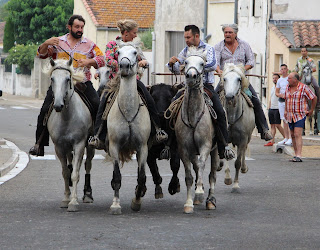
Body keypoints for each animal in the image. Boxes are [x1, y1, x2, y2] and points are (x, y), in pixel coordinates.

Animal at [45, 57, 95, 212]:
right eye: (52, 78)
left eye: (68, 79)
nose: (58, 105)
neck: (67, 116)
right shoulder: (59, 147)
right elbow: (66, 173)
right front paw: (66, 199)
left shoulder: (79, 145)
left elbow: (75, 174)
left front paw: (73, 202)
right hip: (67, 148)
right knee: (69, 164)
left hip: (89, 147)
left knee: (88, 165)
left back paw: (87, 195)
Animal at [104, 41, 151, 215]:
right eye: (117, 52)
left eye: (135, 52)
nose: (124, 66)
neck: (128, 111)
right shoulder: (114, 146)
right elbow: (117, 177)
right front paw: (115, 205)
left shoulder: (142, 147)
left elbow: (142, 176)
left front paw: (136, 201)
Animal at [174, 47, 219, 215]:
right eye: (186, 62)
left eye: (202, 63)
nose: (191, 76)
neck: (194, 116)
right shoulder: (184, 150)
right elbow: (189, 176)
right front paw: (189, 204)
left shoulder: (205, 146)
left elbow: (201, 166)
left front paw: (199, 192)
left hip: (216, 150)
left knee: (212, 174)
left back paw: (210, 200)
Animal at [218, 63, 255, 192]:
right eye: (224, 79)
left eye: (239, 79)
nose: (229, 96)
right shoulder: (224, 137)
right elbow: (226, 155)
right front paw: (228, 179)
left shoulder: (243, 139)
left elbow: (237, 162)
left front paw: (235, 184)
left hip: (247, 138)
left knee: (244, 151)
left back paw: (244, 168)